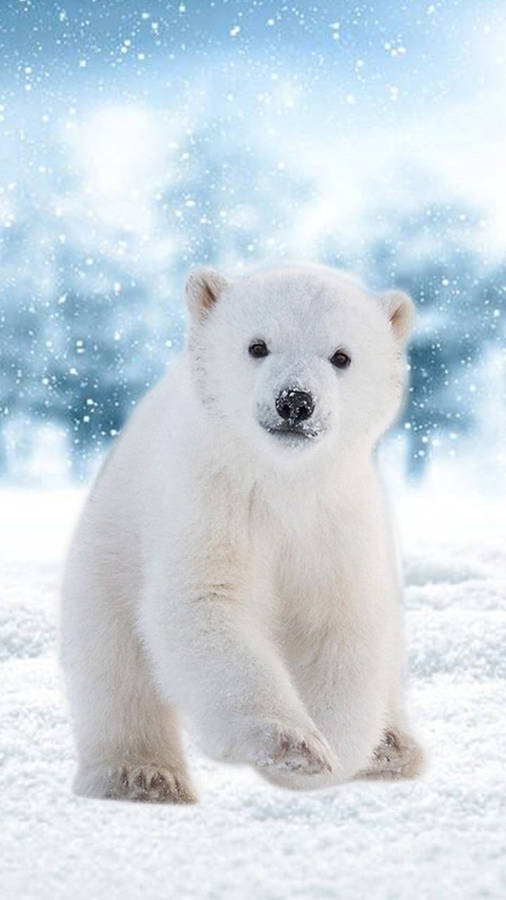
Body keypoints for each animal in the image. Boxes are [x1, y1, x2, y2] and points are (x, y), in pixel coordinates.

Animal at [61, 263, 425, 803]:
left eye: (341, 356)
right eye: (258, 346)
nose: (295, 402)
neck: (280, 480)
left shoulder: (337, 521)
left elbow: (343, 626)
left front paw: (330, 751)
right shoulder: (210, 500)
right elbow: (205, 603)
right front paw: (294, 744)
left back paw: (392, 748)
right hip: (107, 560)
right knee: (115, 670)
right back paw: (141, 775)